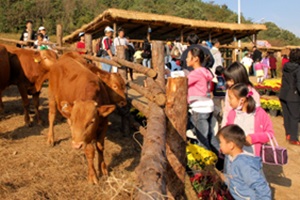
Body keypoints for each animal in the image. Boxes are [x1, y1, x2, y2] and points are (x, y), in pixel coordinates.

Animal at [45, 55, 116, 184]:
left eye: (92, 121)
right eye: (75, 122)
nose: (77, 145)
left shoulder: (104, 124)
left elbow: (100, 147)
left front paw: (103, 168)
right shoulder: (85, 139)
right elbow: (90, 151)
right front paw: (92, 176)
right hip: (52, 96)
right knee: (52, 116)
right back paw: (51, 139)